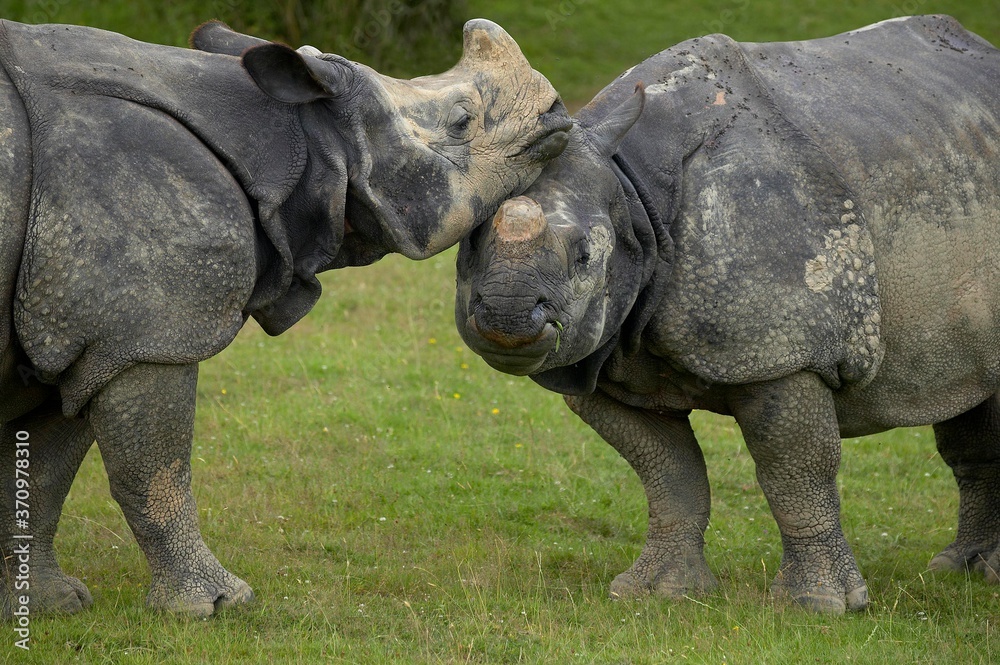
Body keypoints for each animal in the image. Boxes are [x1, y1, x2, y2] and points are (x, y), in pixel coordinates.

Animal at [0, 18, 570, 616]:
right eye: (462, 121)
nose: (558, 112)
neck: (305, 137)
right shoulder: (147, 332)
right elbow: (155, 471)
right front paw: (215, 607)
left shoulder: (84, 336)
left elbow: (41, 474)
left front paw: (49, 604)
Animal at [456, 15, 1000, 614]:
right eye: (468, 247)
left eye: (583, 258)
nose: (506, 318)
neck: (634, 190)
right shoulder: (603, 359)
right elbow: (668, 472)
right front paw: (656, 592)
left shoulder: (783, 350)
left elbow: (794, 472)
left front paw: (820, 606)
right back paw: (957, 570)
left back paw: (979, 574)